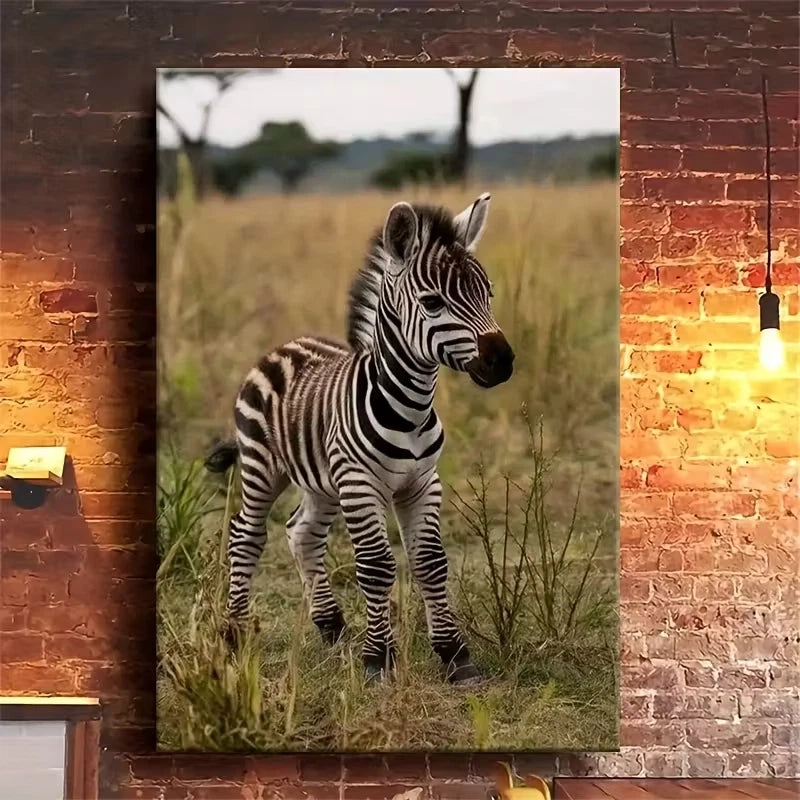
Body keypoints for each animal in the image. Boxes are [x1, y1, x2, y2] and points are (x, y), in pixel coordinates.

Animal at [206, 192, 514, 685]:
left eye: (487, 294)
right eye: (432, 303)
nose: (502, 362)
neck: (410, 408)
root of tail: (287, 345)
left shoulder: (422, 482)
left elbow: (430, 561)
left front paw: (455, 655)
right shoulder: (359, 483)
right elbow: (375, 565)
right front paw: (377, 660)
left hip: (321, 482)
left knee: (302, 533)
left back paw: (330, 626)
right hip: (261, 466)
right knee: (245, 535)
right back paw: (234, 634)